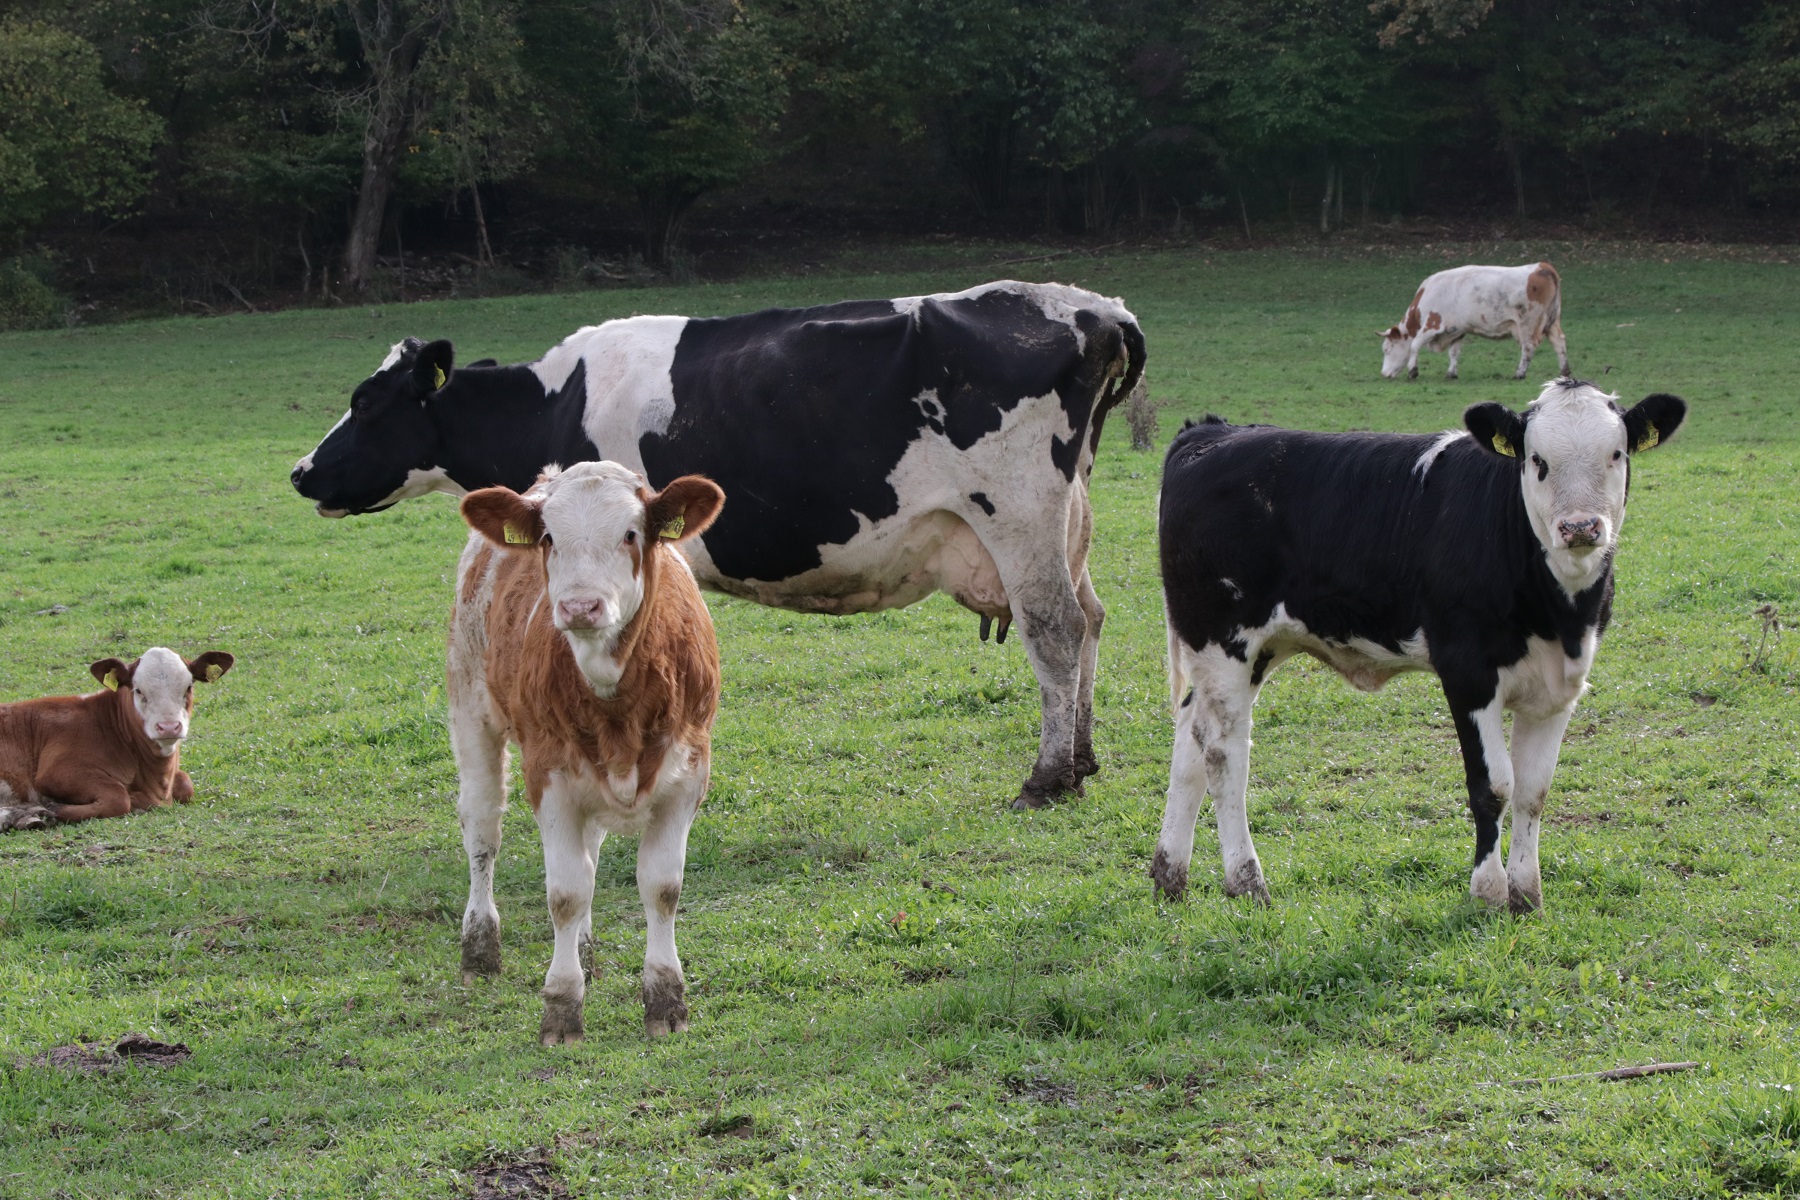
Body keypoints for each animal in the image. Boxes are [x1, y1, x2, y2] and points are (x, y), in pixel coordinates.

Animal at [0, 647, 234, 834]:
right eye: (138, 690)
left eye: (189, 687)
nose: (168, 726)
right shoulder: (56, 771)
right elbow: (119, 797)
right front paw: (53, 808)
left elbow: (186, 784)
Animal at [288, 282, 1144, 805]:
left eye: (367, 402)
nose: (300, 472)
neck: (552, 403)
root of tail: (1093, 308)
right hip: (1067, 524)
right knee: (1093, 620)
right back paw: (1084, 757)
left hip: (1018, 516)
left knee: (1056, 632)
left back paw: (1048, 776)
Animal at [450, 460, 723, 1043]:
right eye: (549, 538)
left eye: (631, 533)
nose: (579, 606)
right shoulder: (548, 775)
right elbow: (566, 892)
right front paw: (561, 1006)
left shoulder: (690, 771)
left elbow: (661, 886)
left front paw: (666, 999)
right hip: (468, 706)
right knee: (482, 832)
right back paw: (479, 948)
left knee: (590, 849)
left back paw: (587, 949)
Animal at [1152, 379, 1684, 913]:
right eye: (1538, 460)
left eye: (1616, 454)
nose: (1580, 527)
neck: (1560, 613)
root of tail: (1212, 432)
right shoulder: (1468, 673)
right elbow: (1493, 785)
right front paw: (1488, 892)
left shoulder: (1559, 685)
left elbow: (1534, 790)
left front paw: (1526, 895)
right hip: (1221, 640)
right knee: (1223, 753)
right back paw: (1246, 881)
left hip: (1250, 651)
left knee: (1190, 739)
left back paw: (1169, 875)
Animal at [1382, 264, 1569, 383]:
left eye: (1387, 349)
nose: (1383, 374)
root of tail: (1542, 266)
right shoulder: (1457, 330)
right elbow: (1454, 353)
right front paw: (1451, 373)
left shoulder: (1432, 325)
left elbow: (1414, 345)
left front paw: (1413, 371)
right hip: (1552, 321)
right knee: (1559, 342)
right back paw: (1564, 372)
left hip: (1528, 323)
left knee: (1528, 347)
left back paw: (1519, 374)